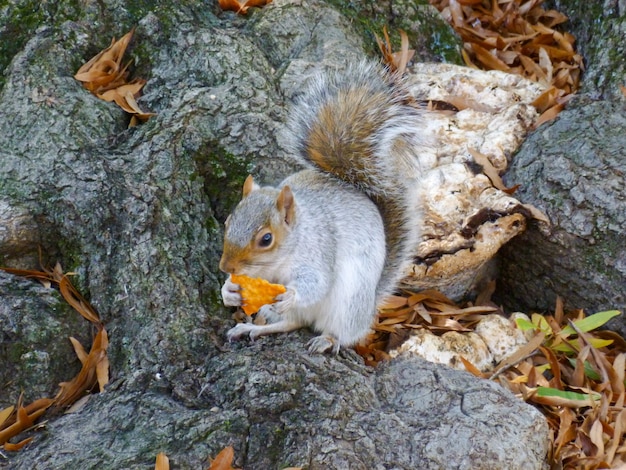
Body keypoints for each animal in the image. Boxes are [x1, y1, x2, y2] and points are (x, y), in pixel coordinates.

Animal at [217, 62, 426, 354]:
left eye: (266, 239)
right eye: (228, 222)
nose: (226, 266)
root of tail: (370, 304)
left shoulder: (318, 249)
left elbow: (317, 282)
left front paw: (291, 294)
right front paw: (228, 291)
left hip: (348, 303)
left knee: (332, 329)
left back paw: (326, 339)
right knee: (291, 323)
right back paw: (252, 327)